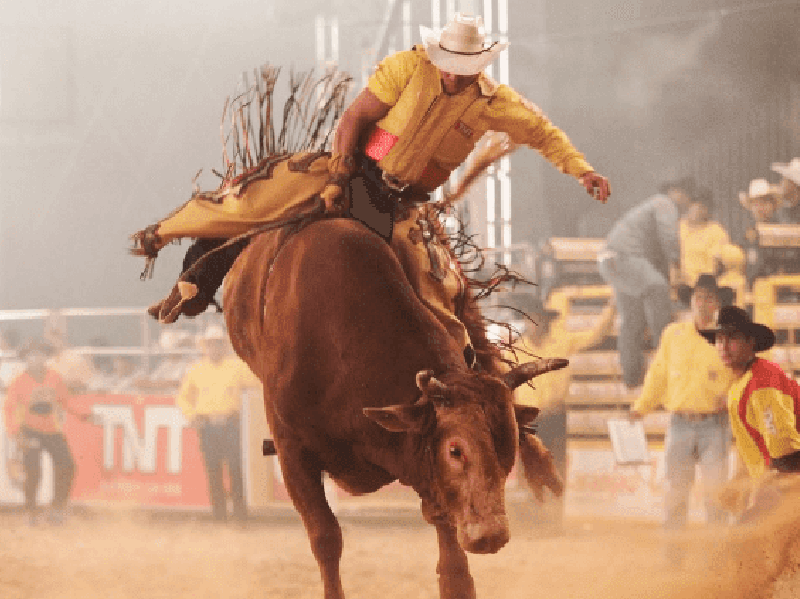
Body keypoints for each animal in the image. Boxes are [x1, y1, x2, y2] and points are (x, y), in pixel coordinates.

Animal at [222, 219, 564, 599]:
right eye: (455, 450)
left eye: (508, 445)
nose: (491, 535)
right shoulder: (291, 452)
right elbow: (326, 537)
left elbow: (452, 560)